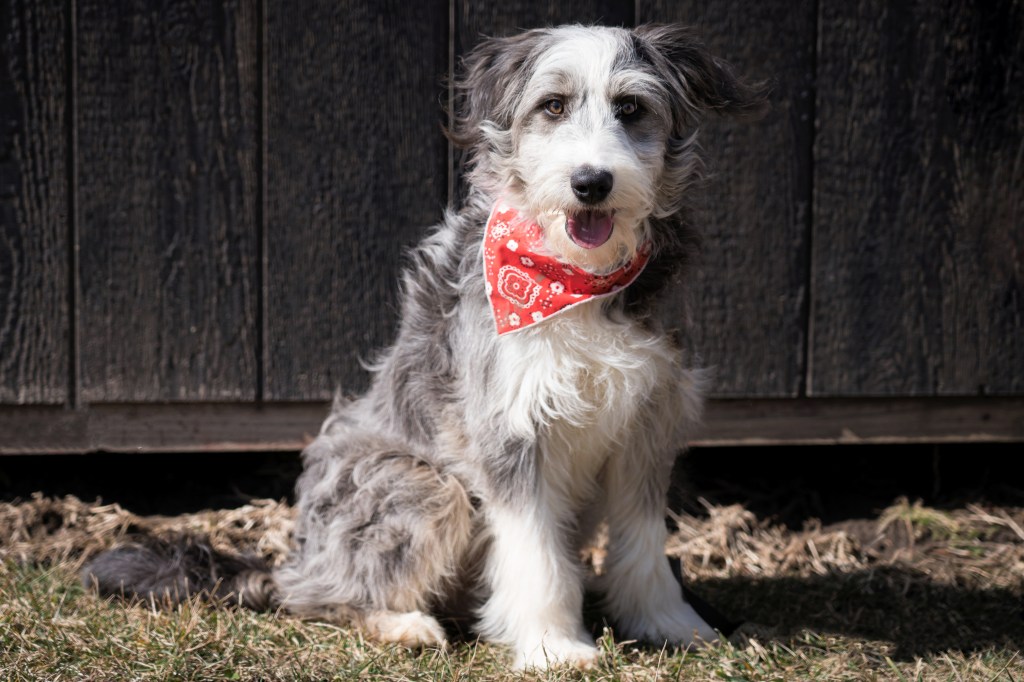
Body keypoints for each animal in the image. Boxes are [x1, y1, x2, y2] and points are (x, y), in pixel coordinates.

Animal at [81, 23, 770, 667]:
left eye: (630, 107)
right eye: (553, 106)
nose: (592, 182)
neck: (574, 279)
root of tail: (296, 560)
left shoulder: (647, 424)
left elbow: (644, 544)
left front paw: (669, 624)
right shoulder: (510, 428)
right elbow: (536, 553)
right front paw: (553, 645)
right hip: (426, 487)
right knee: (316, 598)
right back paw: (402, 624)